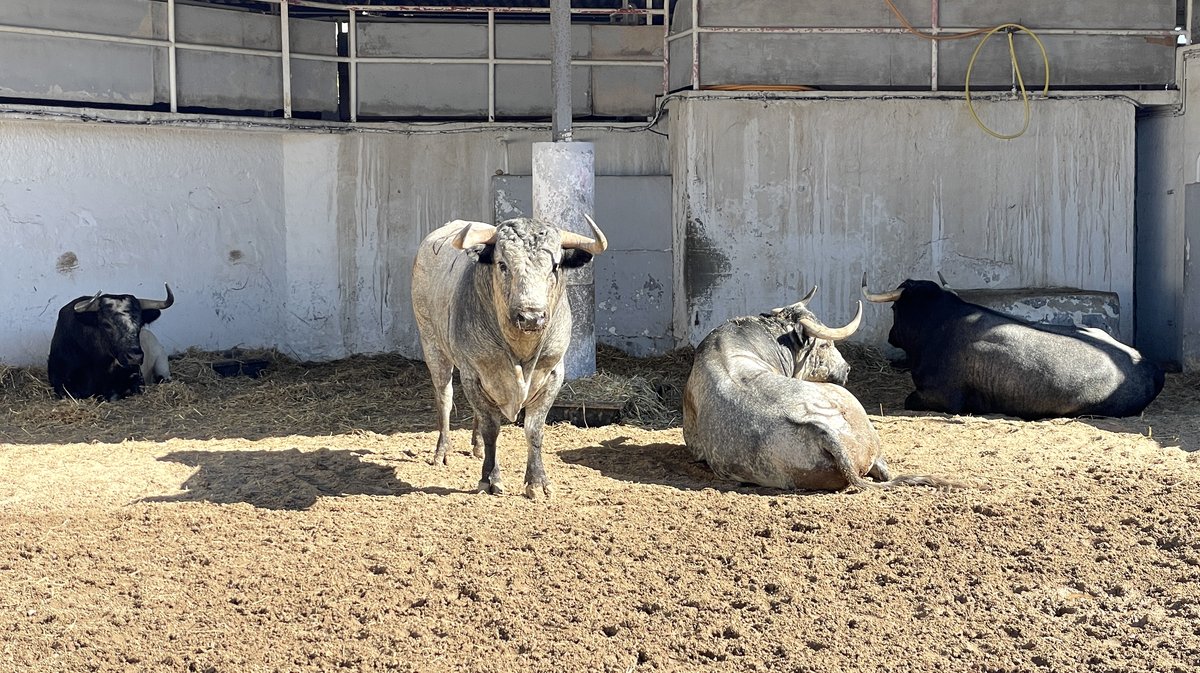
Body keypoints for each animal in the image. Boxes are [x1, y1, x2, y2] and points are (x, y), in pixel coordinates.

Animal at [412, 218, 609, 496]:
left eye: (555, 265)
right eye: (503, 264)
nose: (531, 316)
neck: (521, 352)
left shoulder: (554, 374)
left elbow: (534, 430)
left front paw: (538, 482)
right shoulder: (473, 374)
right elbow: (491, 428)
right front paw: (490, 479)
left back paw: (476, 448)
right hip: (432, 344)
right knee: (445, 398)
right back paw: (442, 452)